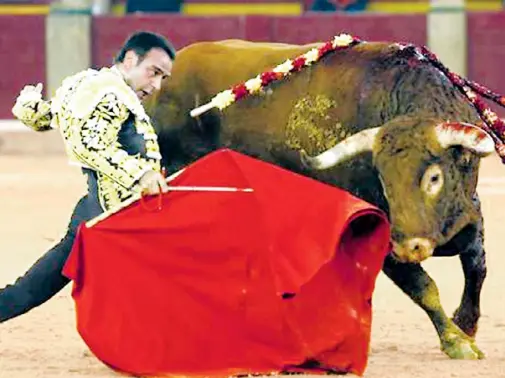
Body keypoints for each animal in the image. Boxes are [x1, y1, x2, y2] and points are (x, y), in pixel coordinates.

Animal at [146, 38, 496, 360]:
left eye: (434, 177)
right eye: (383, 180)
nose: (410, 247)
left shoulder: (470, 212)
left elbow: (477, 267)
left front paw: (466, 324)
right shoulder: (382, 238)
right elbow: (424, 287)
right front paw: (457, 342)